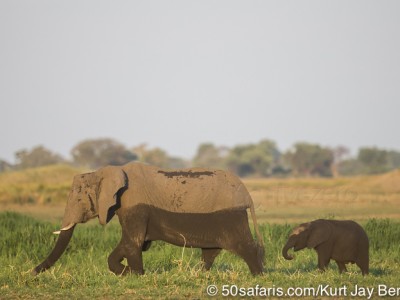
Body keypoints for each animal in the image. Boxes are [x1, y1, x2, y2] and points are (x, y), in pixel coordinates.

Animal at [32, 163, 264, 276]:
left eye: (79, 199)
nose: (32, 272)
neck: (106, 172)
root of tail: (247, 195)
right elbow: (132, 243)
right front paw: (129, 272)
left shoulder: (135, 206)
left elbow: (133, 242)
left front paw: (136, 274)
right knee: (211, 251)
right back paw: (198, 274)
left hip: (231, 216)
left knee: (243, 245)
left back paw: (258, 276)